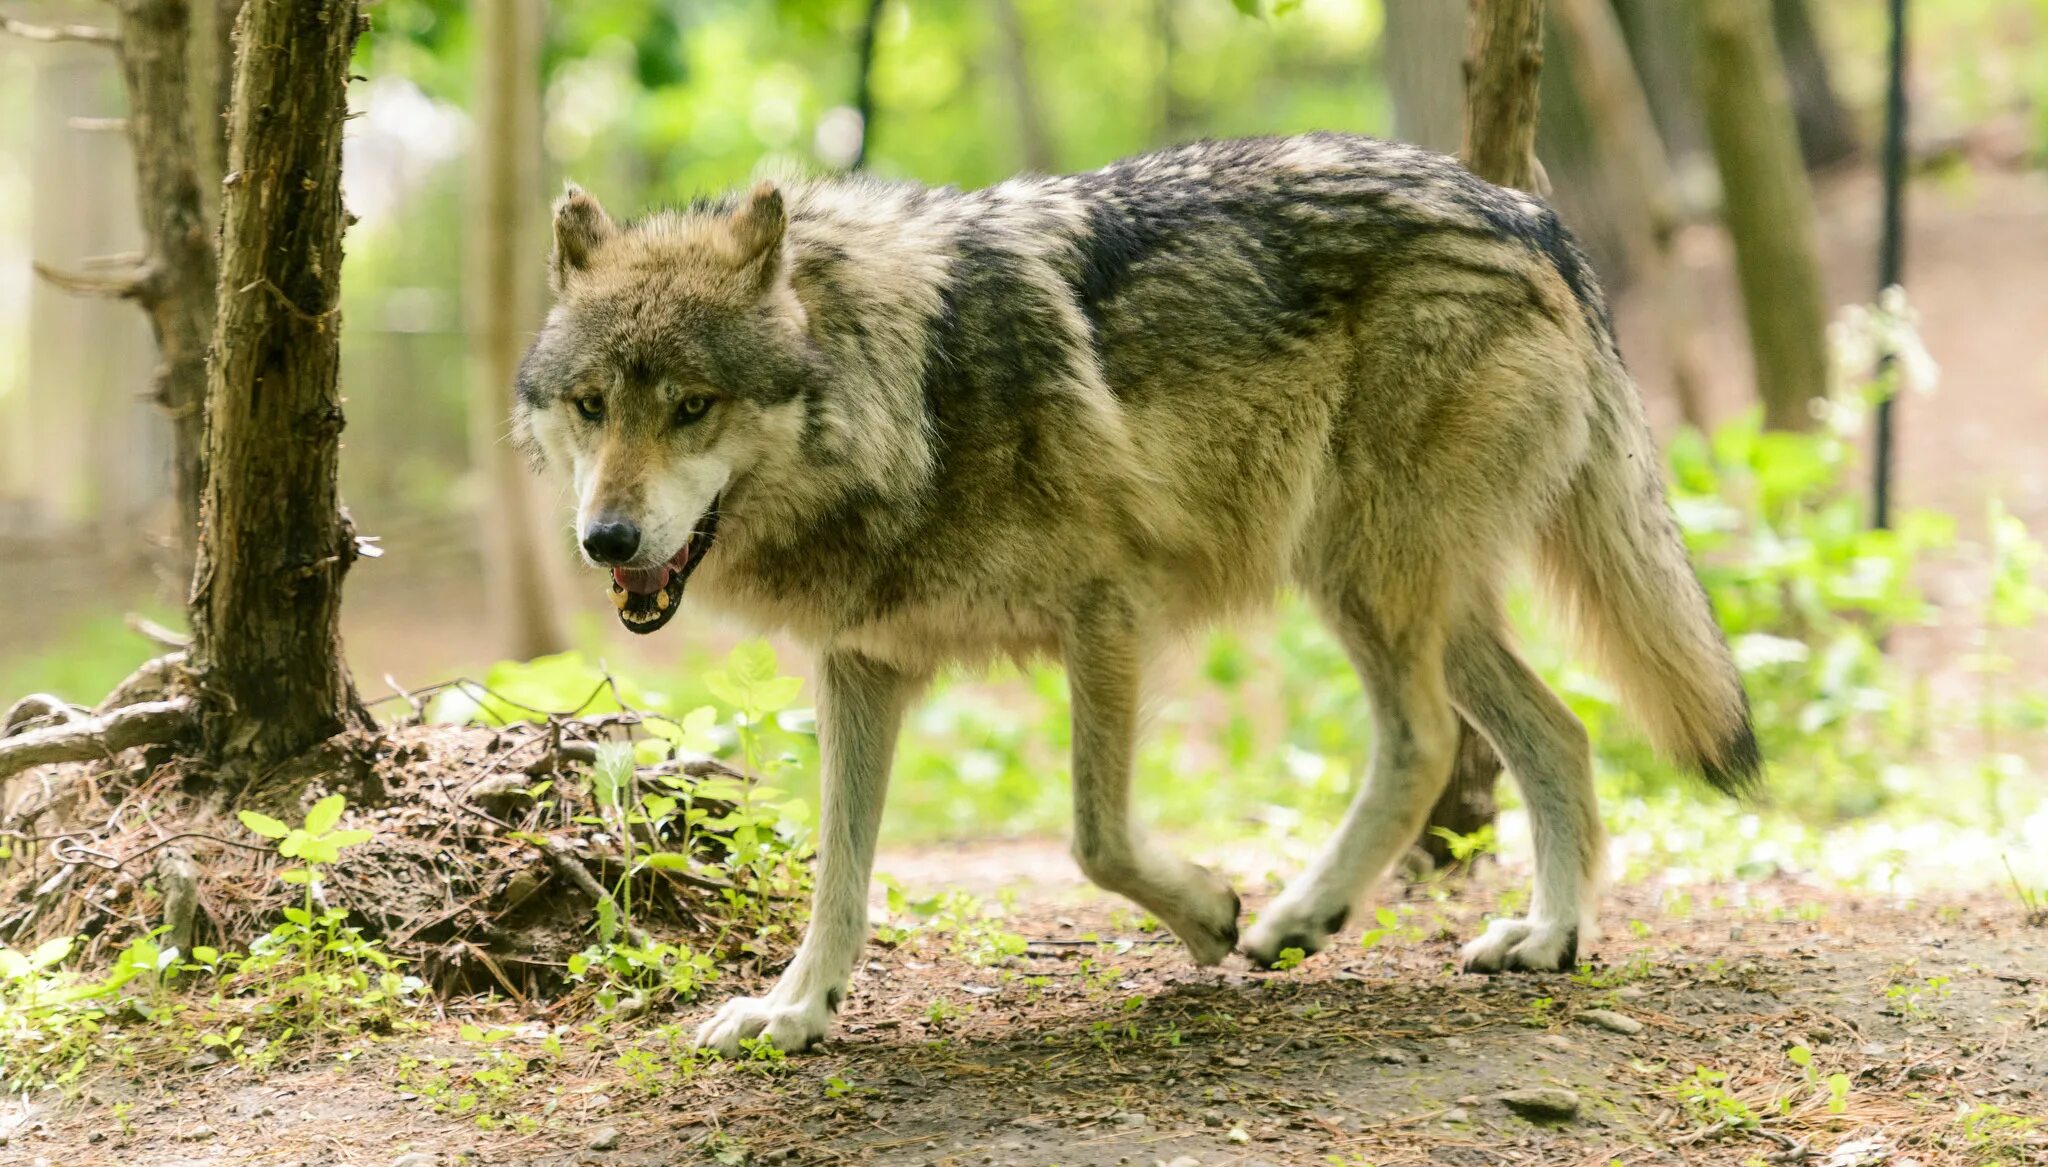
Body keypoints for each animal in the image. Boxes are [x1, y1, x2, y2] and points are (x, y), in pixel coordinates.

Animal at [512, 132, 1761, 1048]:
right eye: (590, 406)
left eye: (691, 406)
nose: (604, 539)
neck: (909, 389)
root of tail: (1525, 212)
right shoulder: (862, 664)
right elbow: (841, 872)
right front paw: (794, 1013)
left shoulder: (1108, 611)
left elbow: (1094, 839)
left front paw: (1211, 912)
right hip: (1412, 595)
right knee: (1559, 734)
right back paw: (1546, 938)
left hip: (1358, 575)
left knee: (1421, 746)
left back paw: (1301, 914)